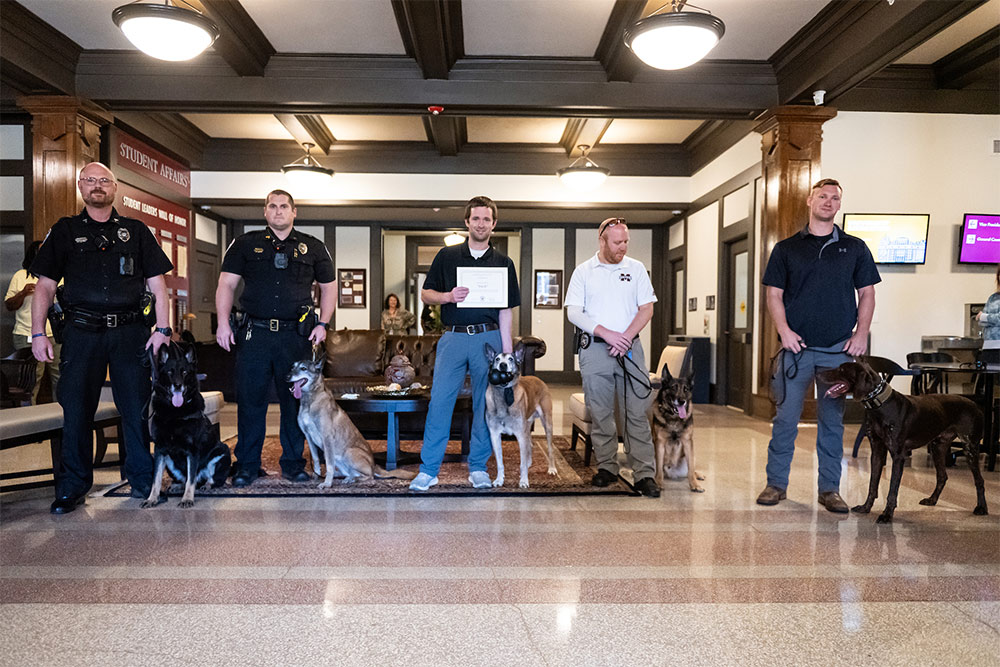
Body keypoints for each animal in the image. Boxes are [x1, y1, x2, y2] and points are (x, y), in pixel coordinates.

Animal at [144, 342, 231, 508]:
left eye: (184, 372)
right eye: (170, 372)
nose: (177, 385)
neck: (175, 413)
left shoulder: (192, 451)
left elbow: (191, 480)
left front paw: (187, 499)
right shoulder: (160, 450)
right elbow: (155, 479)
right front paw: (152, 499)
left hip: (221, 451)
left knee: (207, 479)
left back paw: (206, 485)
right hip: (170, 462)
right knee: (186, 479)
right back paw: (177, 485)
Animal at [286, 354, 418, 486]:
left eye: (303, 368)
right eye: (292, 367)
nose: (287, 377)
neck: (310, 400)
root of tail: (374, 466)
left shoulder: (327, 437)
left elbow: (329, 465)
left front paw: (327, 483)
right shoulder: (308, 436)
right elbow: (316, 459)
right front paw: (316, 476)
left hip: (349, 452)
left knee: (369, 476)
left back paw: (352, 479)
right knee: (350, 472)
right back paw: (345, 477)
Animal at [482, 342, 560, 488]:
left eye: (511, 359)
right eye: (497, 359)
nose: (503, 365)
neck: (503, 395)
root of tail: (537, 378)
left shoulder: (519, 434)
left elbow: (522, 463)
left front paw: (523, 481)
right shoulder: (494, 435)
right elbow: (500, 462)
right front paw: (499, 480)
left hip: (547, 422)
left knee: (550, 448)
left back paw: (552, 469)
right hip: (527, 426)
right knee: (530, 444)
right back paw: (530, 463)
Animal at [648, 362, 704, 494]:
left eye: (686, 389)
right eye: (673, 387)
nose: (682, 401)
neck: (674, 418)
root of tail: (670, 471)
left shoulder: (688, 443)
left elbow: (691, 469)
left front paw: (694, 484)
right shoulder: (660, 443)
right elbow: (659, 469)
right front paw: (659, 483)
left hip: (690, 457)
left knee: (691, 469)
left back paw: (698, 475)